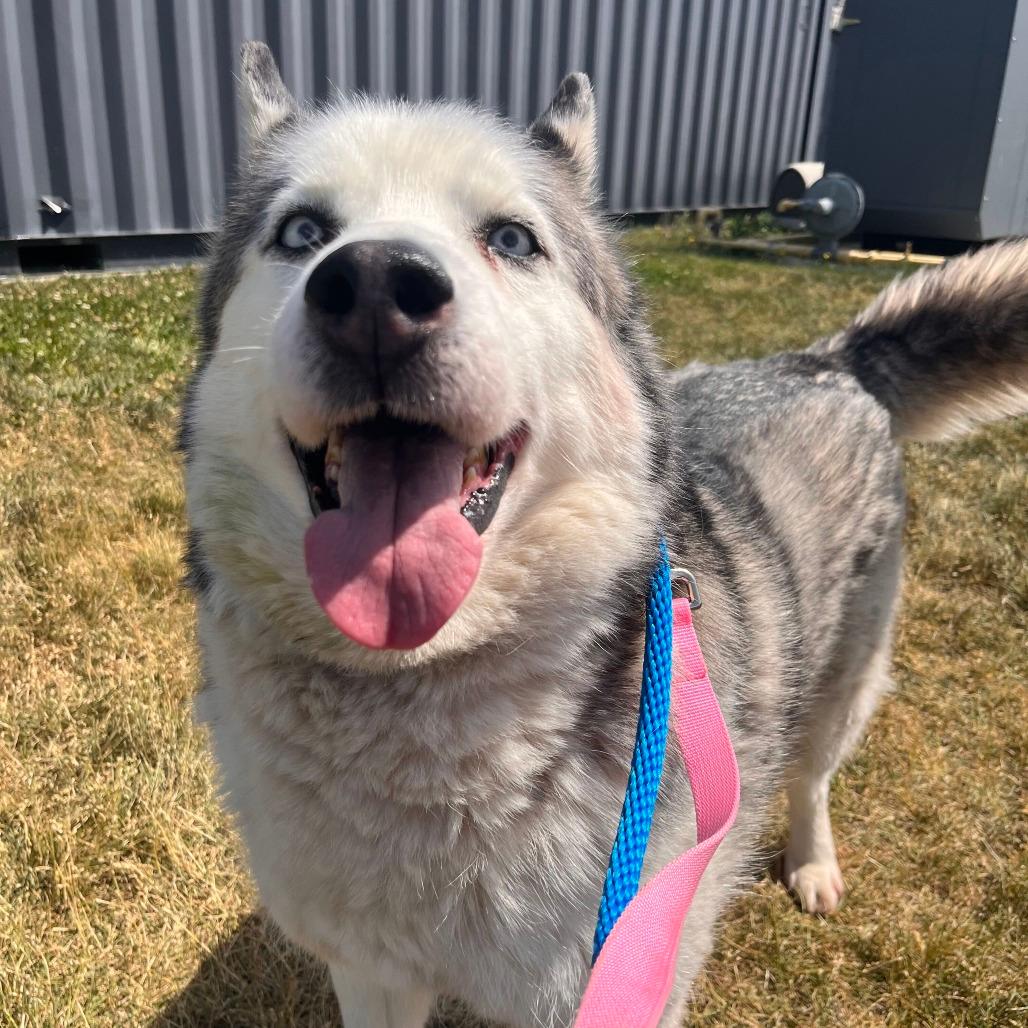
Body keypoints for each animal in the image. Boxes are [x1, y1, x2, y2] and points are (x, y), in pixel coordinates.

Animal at [180, 42, 1028, 1028]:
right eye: (303, 232)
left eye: (512, 239)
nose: (379, 290)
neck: (420, 703)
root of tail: (822, 360)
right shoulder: (370, 970)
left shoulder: (613, 969)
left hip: (845, 676)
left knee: (814, 775)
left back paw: (814, 864)